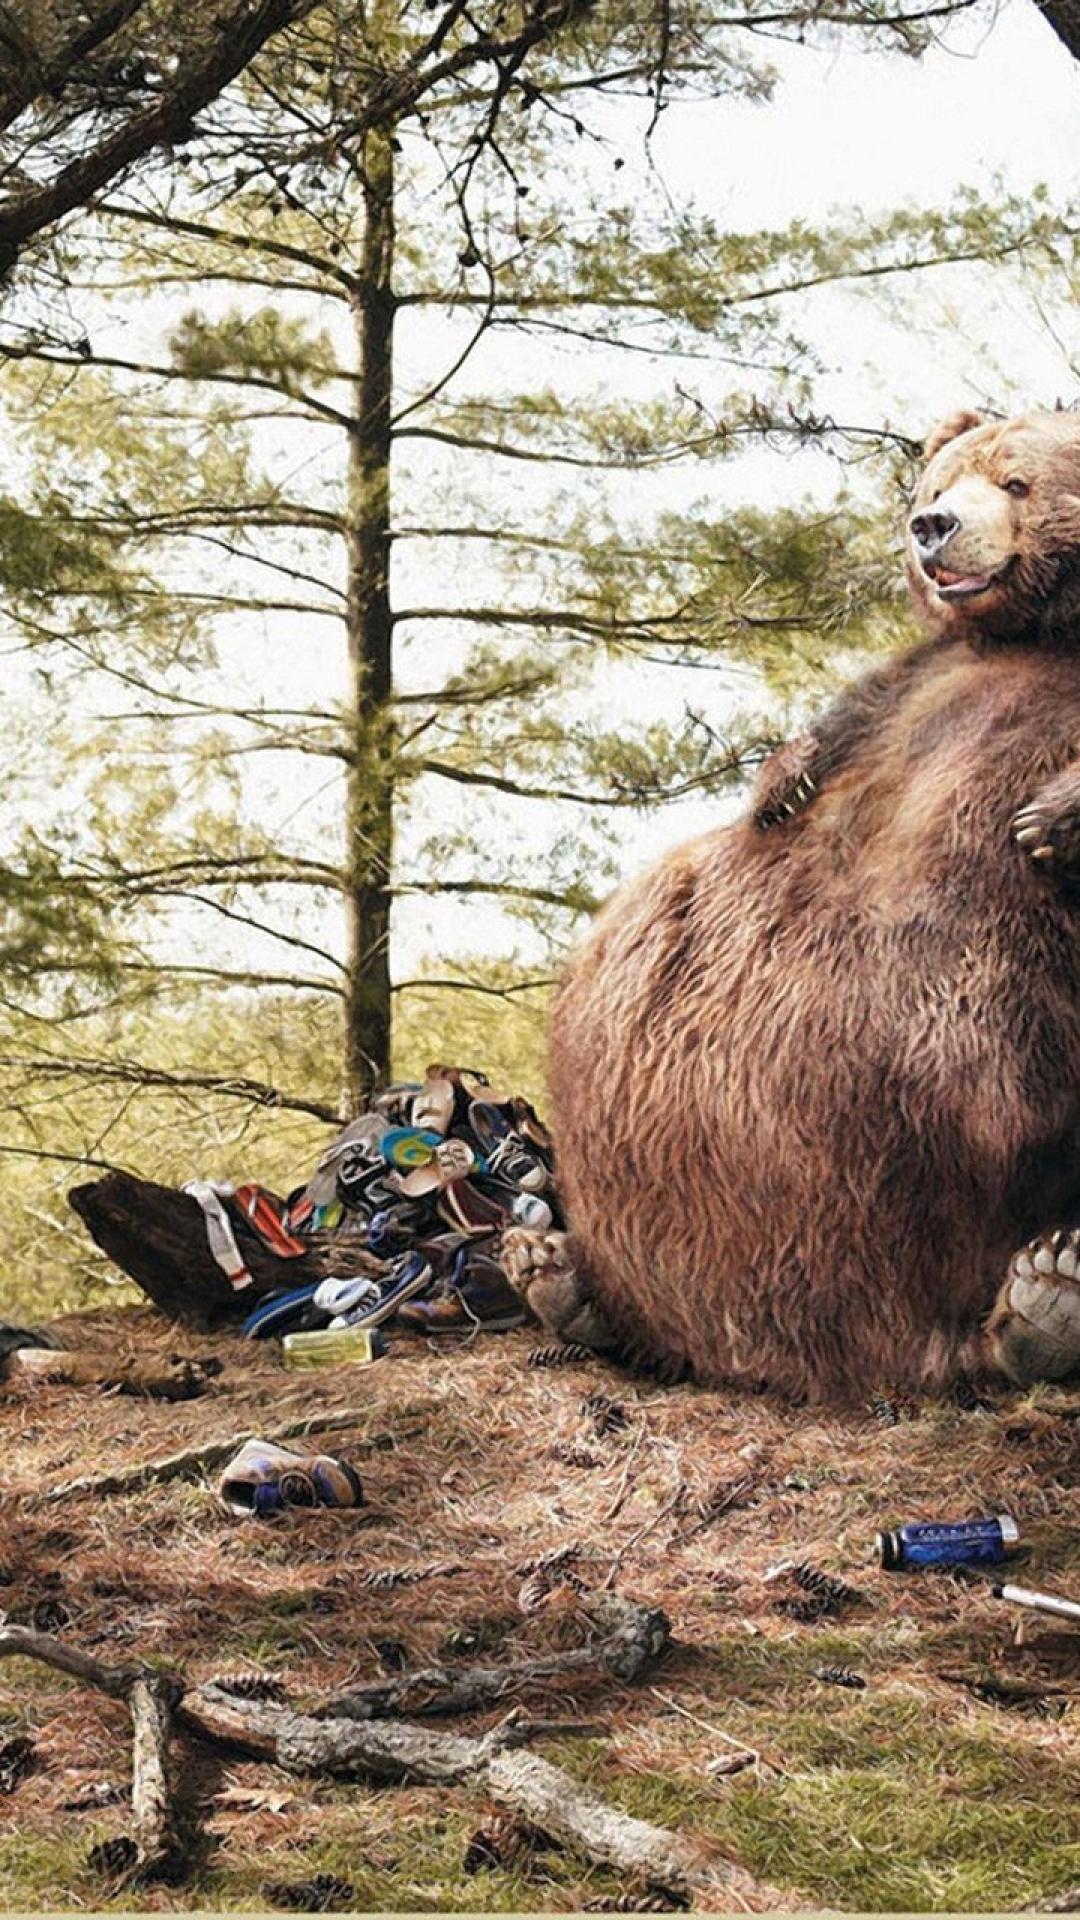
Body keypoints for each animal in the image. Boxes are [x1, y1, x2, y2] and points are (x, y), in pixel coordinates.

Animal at [503, 407, 1080, 1402]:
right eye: (938, 485)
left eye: (1018, 481)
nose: (932, 528)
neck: (1038, 632)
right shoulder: (918, 673)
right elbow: (852, 715)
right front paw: (782, 778)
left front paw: (1049, 817)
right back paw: (563, 1279)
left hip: (999, 1021)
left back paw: (1042, 1301)